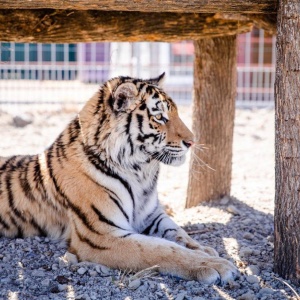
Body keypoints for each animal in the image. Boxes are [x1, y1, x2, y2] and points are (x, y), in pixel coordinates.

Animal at [0, 72, 237, 284]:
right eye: (160, 117)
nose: (192, 141)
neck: (141, 173)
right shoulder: (101, 235)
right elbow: (160, 248)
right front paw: (214, 265)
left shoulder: (152, 215)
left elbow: (178, 233)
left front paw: (205, 249)